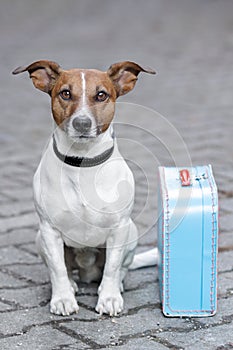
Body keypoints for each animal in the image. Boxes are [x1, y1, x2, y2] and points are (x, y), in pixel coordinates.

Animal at [13, 60, 158, 318]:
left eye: (101, 95)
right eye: (65, 93)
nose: (82, 123)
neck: (82, 163)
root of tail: (87, 272)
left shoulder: (118, 228)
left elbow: (112, 267)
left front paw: (109, 297)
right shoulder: (49, 230)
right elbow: (58, 268)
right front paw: (62, 298)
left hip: (130, 232)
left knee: (120, 268)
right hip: (39, 238)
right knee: (62, 268)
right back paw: (71, 284)